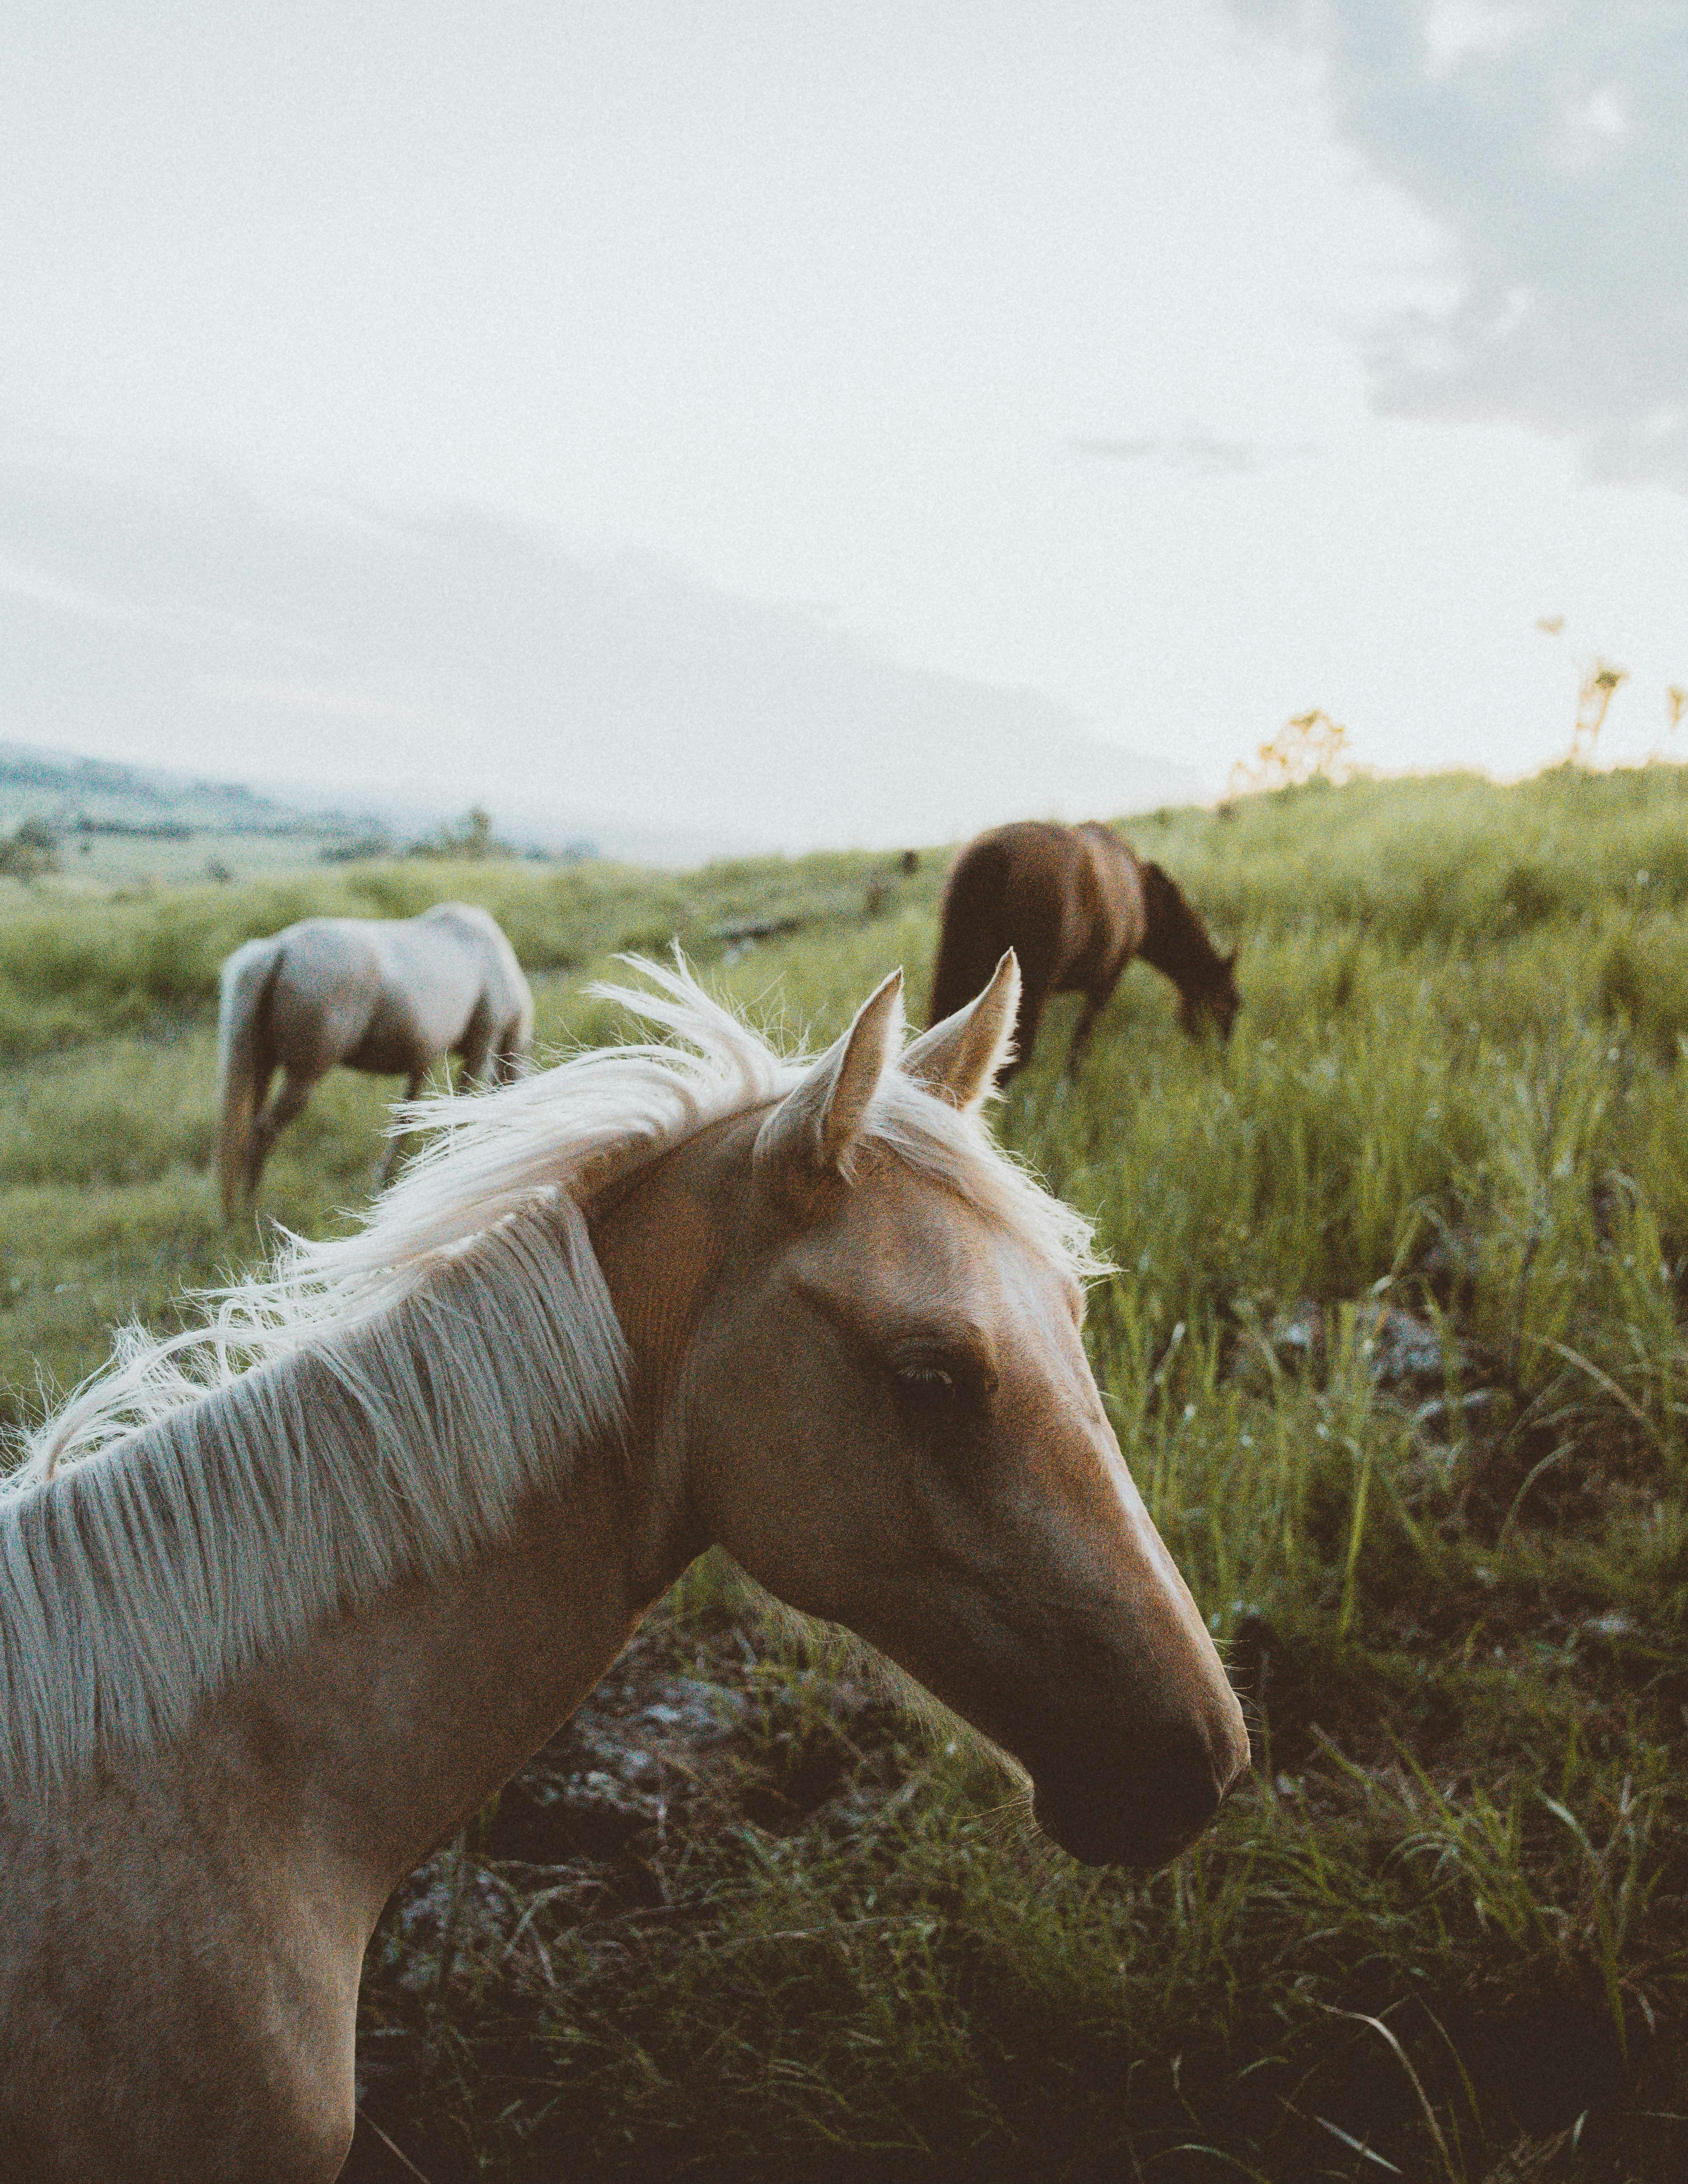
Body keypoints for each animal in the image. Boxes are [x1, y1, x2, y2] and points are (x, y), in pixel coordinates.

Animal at [215, 901, 533, 1218]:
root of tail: (279, 949)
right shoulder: (482, 1048)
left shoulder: (423, 1061)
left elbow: (406, 1120)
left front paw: (386, 1183)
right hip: (303, 1078)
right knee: (261, 1134)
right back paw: (251, 1214)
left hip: (261, 1069)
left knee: (248, 1131)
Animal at [928, 820, 1239, 1078]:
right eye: (1229, 1003)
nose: (1222, 1058)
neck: (1143, 893)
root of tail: (993, 855)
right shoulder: (1106, 983)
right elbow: (1080, 1046)